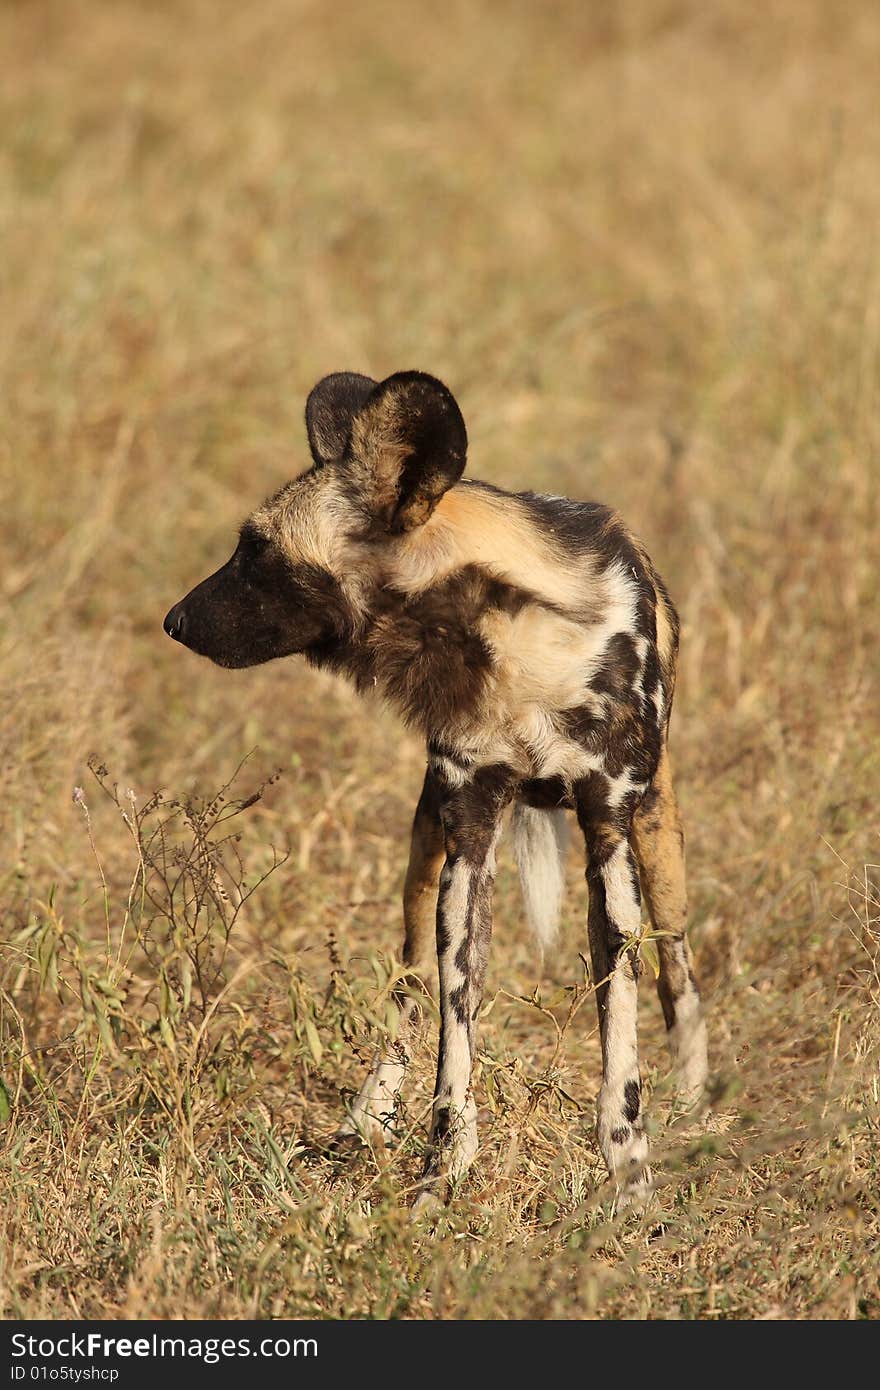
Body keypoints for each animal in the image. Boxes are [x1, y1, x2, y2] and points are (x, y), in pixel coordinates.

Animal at [166, 369, 706, 1206]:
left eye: (257, 551)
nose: (174, 620)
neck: (511, 650)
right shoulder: (467, 839)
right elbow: (455, 1032)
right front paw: (443, 1170)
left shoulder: (610, 834)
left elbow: (619, 1017)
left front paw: (629, 1173)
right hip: (423, 870)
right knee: (410, 987)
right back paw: (366, 1118)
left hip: (658, 843)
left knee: (678, 970)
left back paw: (697, 1102)